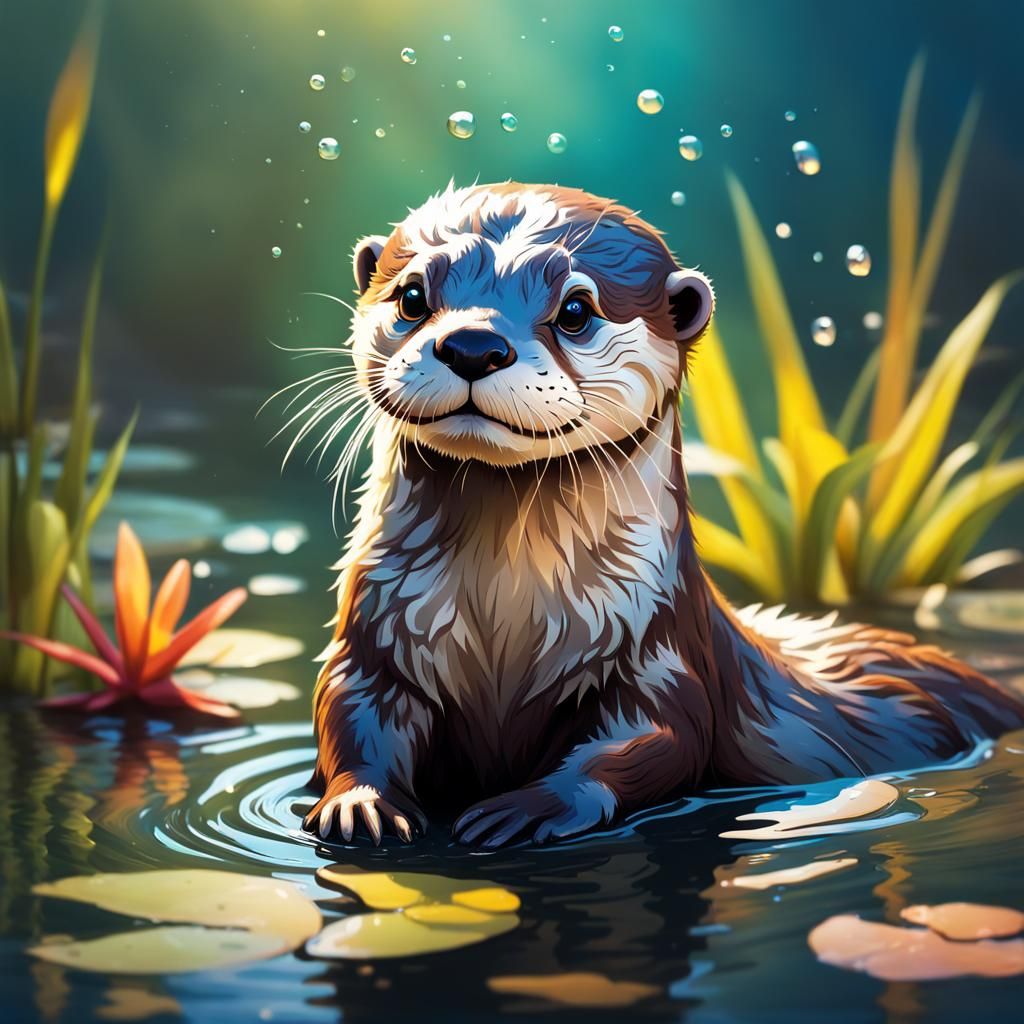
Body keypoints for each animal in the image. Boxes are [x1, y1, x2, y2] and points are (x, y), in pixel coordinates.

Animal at [300, 182, 1024, 848]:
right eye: (412, 297)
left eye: (575, 309)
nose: (474, 345)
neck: (502, 617)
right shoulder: (376, 638)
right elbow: (349, 711)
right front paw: (359, 802)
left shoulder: (658, 647)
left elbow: (657, 736)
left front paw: (531, 806)